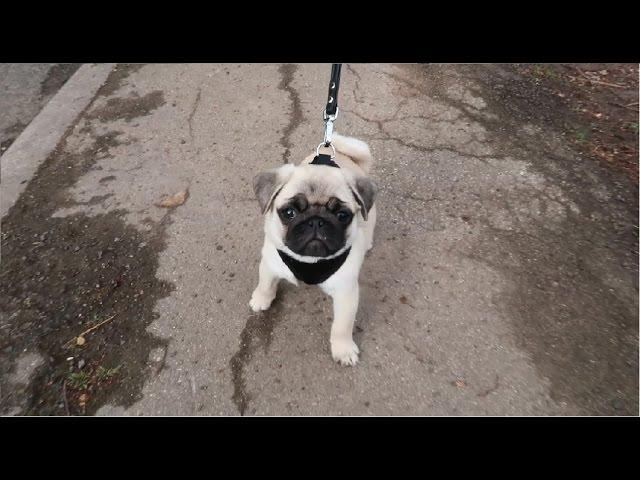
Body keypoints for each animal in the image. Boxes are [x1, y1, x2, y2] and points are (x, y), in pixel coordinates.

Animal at [251, 133, 376, 366]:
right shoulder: (270, 264)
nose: (316, 221)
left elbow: (342, 326)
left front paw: (343, 349)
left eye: (342, 215)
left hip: (371, 216)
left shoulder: (346, 294)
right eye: (289, 213)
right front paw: (261, 299)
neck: (309, 261)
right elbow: (265, 284)